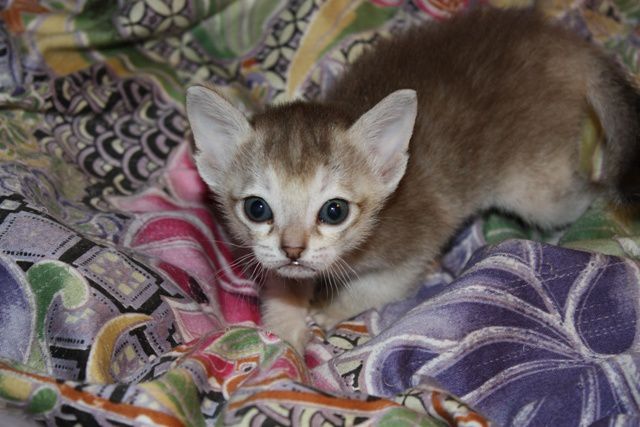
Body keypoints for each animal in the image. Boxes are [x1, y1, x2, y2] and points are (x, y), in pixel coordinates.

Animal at [184, 6, 640, 354]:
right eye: (257, 208)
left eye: (334, 211)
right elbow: (282, 285)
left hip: (540, 194)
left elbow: (374, 289)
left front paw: (329, 311)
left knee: (590, 191)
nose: (293, 249)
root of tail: (563, 42)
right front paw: (285, 338)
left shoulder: (413, 249)